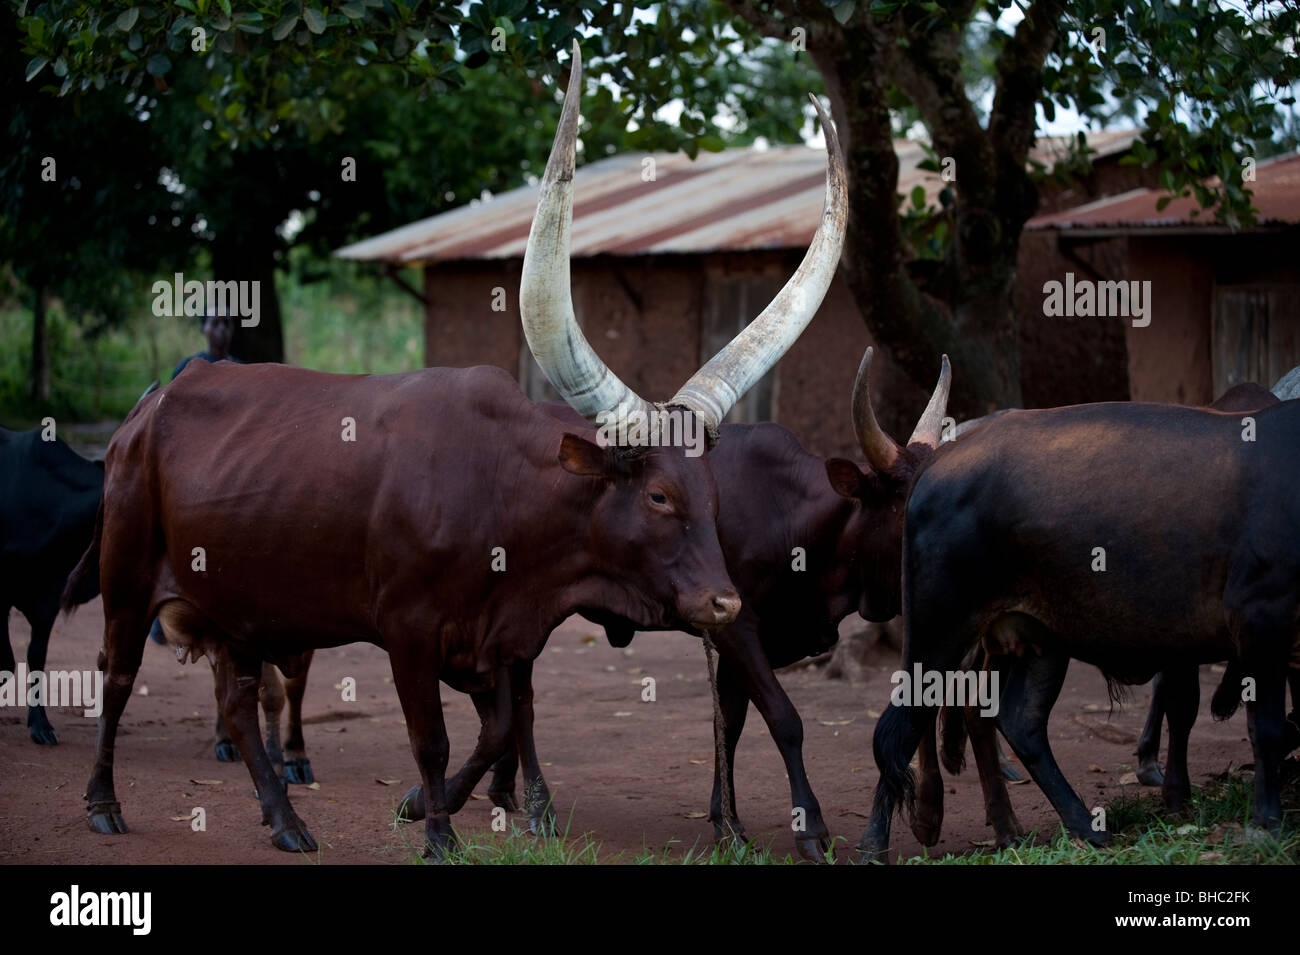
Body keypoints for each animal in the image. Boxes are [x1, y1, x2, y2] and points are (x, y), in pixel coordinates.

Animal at [63, 41, 852, 857]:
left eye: (713, 495)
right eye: (659, 495)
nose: (725, 602)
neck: (503, 495)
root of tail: (144, 412)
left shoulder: (497, 643)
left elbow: (503, 726)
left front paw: (426, 805)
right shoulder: (409, 632)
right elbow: (433, 737)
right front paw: (439, 830)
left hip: (236, 609)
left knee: (237, 704)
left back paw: (284, 819)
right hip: (127, 581)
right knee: (115, 677)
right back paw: (104, 802)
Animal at [863, 392, 1300, 862]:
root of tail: (937, 464)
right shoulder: (1261, 618)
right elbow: (1267, 729)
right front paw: (1265, 824)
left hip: (1038, 641)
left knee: (1020, 722)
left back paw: (1084, 826)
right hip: (940, 630)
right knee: (897, 730)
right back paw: (878, 843)